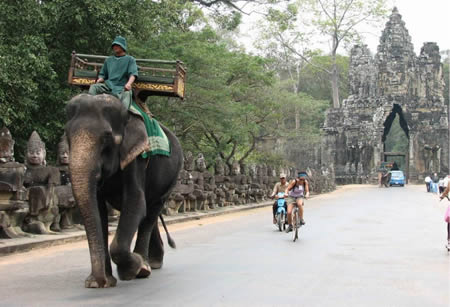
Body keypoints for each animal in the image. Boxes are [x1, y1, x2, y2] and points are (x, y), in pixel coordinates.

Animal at [63, 94, 183, 288]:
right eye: (67, 135)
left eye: (107, 136)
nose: (100, 281)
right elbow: (99, 210)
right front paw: (99, 283)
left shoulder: (137, 157)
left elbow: (135, 201)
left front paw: (133, 269)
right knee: (149, 215)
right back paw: (153, 262)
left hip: (172, 178)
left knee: (151, 211)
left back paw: (146, 266)